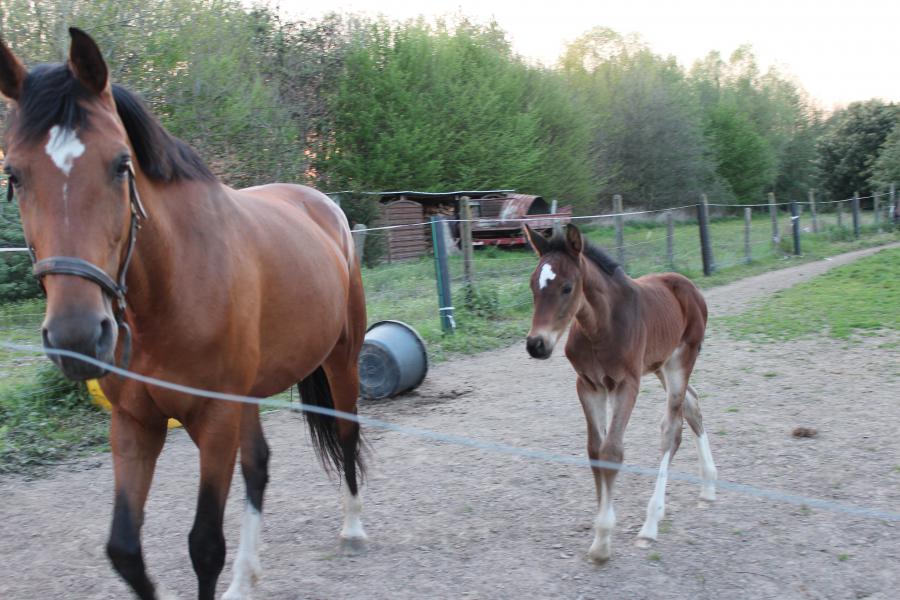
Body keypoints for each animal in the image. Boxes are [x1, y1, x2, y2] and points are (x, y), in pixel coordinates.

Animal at [0, 29, 366, 600]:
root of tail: (321, 204)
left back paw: (352, 529)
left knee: (347, 433)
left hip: (339, 361)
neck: (170, 290)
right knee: (258, 467)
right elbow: (125, 550)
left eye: (120, 164)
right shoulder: (135, 424)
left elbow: (204, 545)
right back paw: (246, 579)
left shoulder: (213, 420)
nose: (76, 336)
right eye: (14, 173)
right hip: (248, 397)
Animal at [520, 224, 716, 564]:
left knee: (671, 429)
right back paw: (707, 488)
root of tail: (688, 285)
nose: (537, 345)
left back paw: (651, 523)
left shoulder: (627, 384)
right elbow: (595, 450)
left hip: (681, 362)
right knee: (692, 404)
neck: (600, 326)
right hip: (661, 365)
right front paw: (601, 531)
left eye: (567, 287)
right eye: (534, 284)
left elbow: (612, 451)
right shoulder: (588, 385)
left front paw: (602, 540)